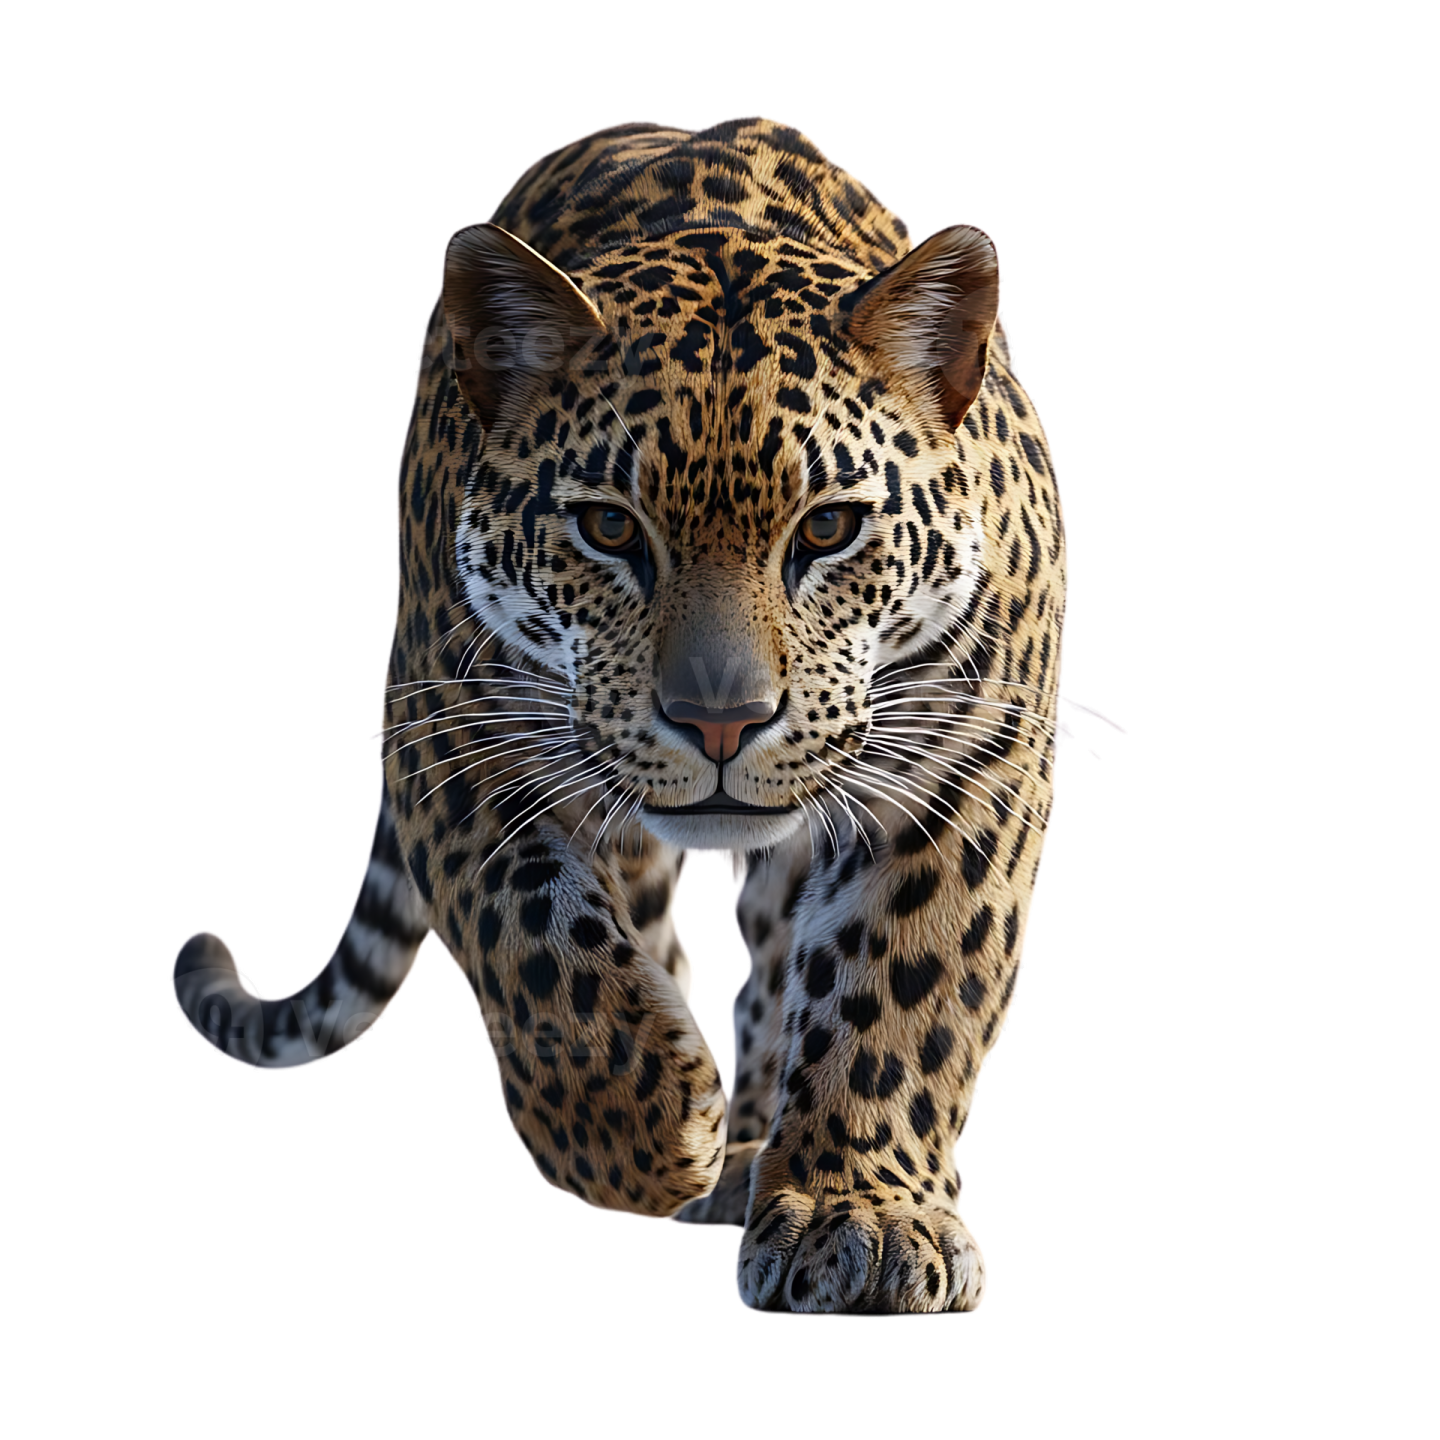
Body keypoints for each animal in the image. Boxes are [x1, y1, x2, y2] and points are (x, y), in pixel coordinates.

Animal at [171, 114, 1068, 1315]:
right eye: (607, 528)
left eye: (828, 529)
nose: (722, 722)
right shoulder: (445, 736)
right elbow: (535, 942)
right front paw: (642, 1136)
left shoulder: (973, 754)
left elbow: (902, 981)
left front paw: (863, 1219)